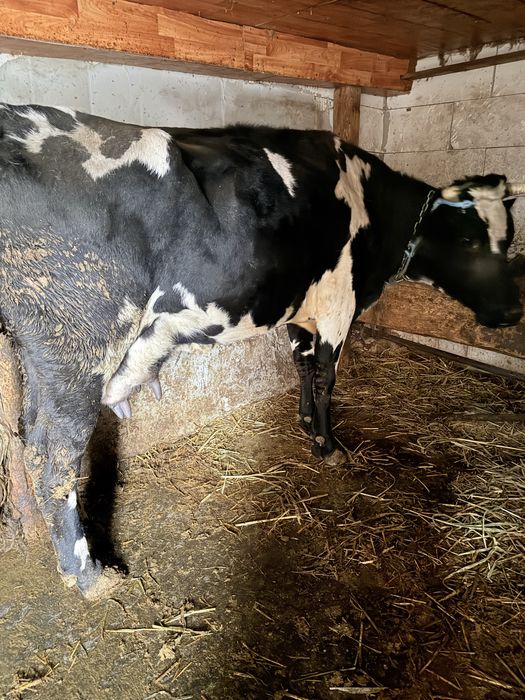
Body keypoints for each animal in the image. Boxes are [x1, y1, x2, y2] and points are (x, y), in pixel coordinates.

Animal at [0, 103, 522, 599]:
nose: (513, 311)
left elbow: (301, 367)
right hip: (81, 341)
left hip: (39, 351)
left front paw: (306, 421)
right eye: (469, 239)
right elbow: (326, 377)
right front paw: (327, 446)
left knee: (30, 446)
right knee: (56, 460)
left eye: (509, 236)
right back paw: (89, 576)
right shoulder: (339, 306)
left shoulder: (301, 312)